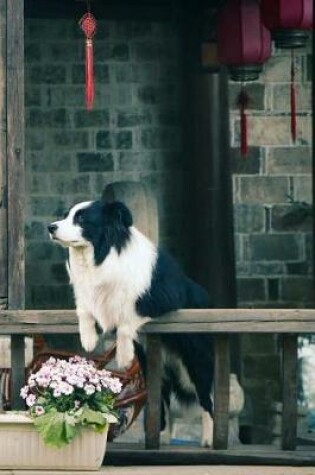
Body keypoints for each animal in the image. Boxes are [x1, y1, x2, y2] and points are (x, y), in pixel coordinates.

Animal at [48, 200, 217, 446]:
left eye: (81, 218)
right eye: (66, 216)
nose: (50, 227)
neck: (100, 255)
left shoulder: (160, 297)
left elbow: (127, 317)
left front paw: (124, 355)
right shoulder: (88, 295)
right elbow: (85, 310)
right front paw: (88, 340)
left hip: (195, 355)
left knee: (205, 396)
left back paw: (208, 438)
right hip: (153, 360)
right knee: (161, 392)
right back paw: (161, 436)